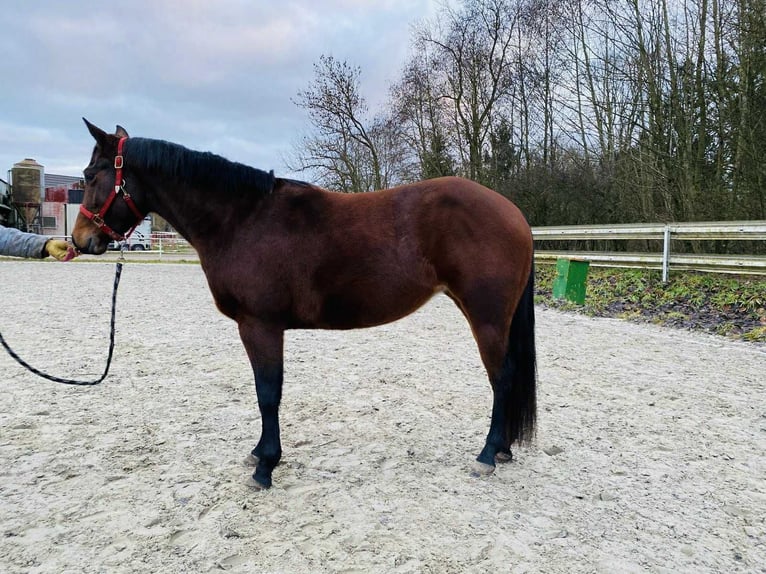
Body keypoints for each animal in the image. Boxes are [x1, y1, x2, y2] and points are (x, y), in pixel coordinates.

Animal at [72, 120, 537, 490]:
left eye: (91, 174)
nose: (80, 240)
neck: (242, 220)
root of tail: (515, 214)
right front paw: (260, 453)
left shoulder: (259, 325)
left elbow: (268, 393)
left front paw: (265, 467)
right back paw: (503, 450)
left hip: (487, 318)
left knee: (502, 378)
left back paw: (487, 455)